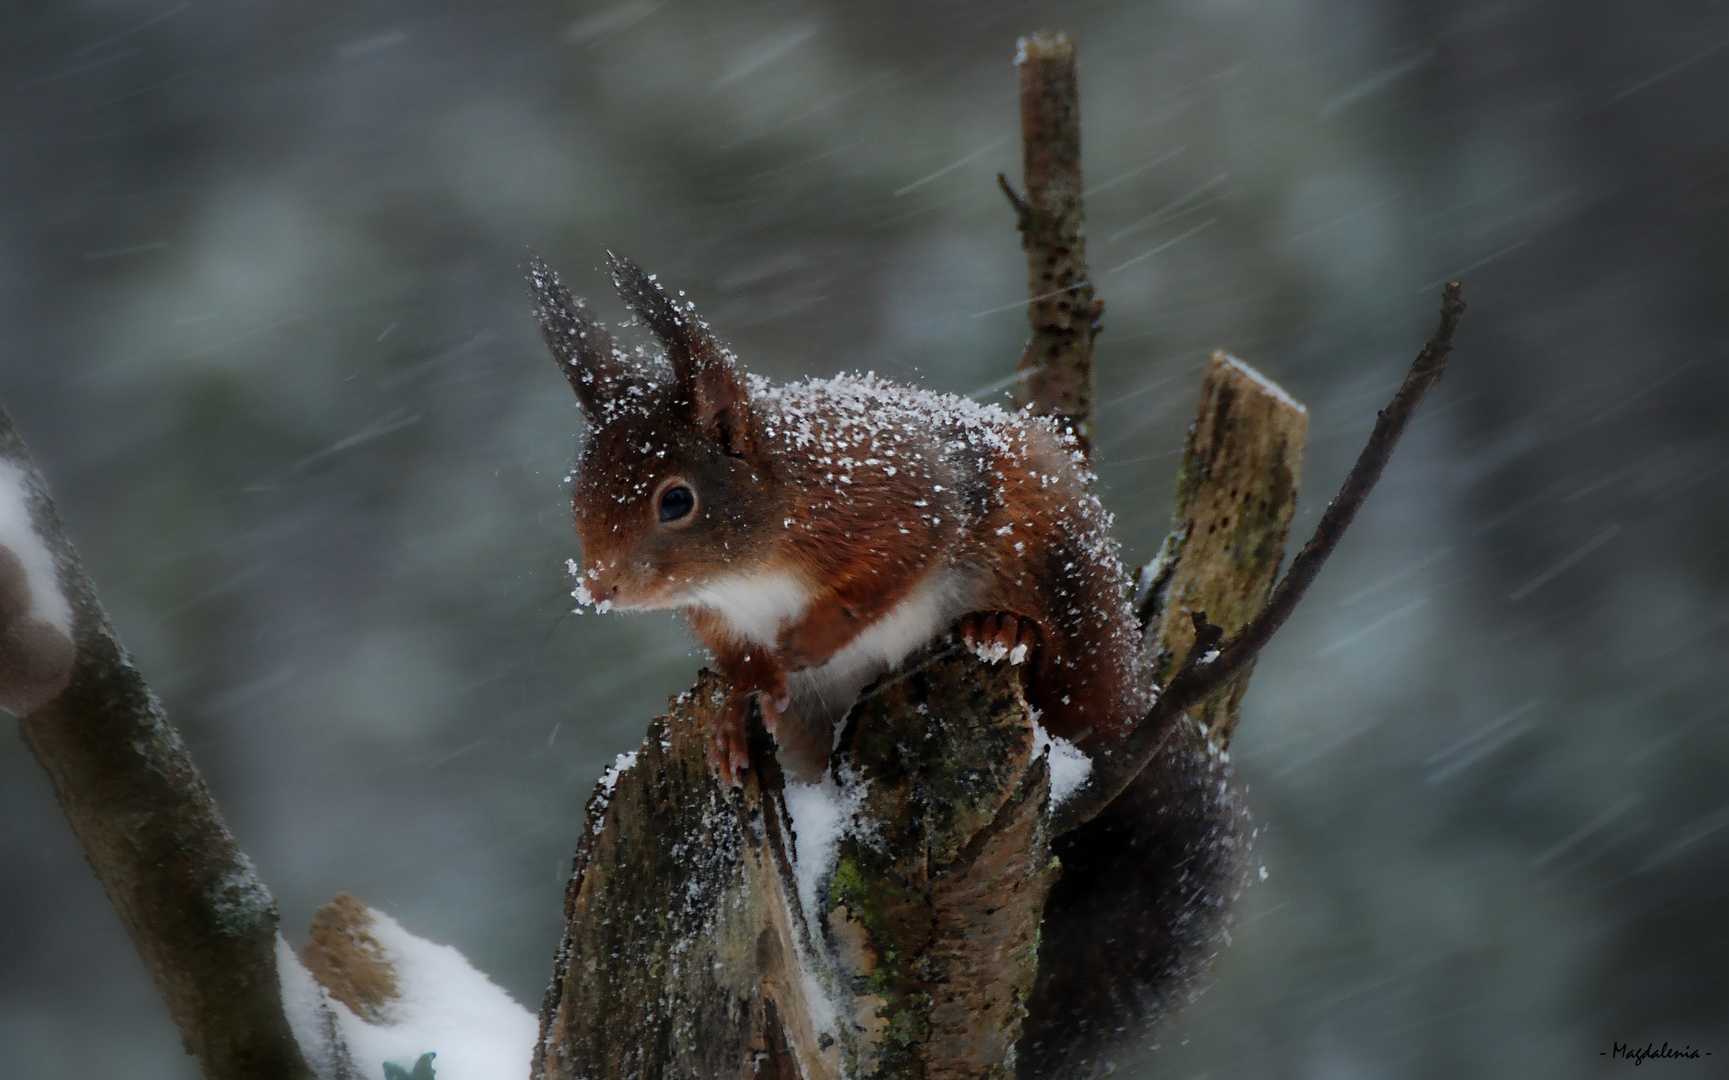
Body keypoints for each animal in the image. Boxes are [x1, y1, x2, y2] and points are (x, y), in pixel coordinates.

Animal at [525, 257, 1148, 787]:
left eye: (676, 501)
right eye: (578, 492)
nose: (598, 589)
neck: (747, 573)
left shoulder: (894, 499)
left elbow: (895, 563)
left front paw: (811, 637)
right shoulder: (715, 612)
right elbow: (738, 658)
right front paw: (739, 708)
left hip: (1052, 567)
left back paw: (1002, 628)